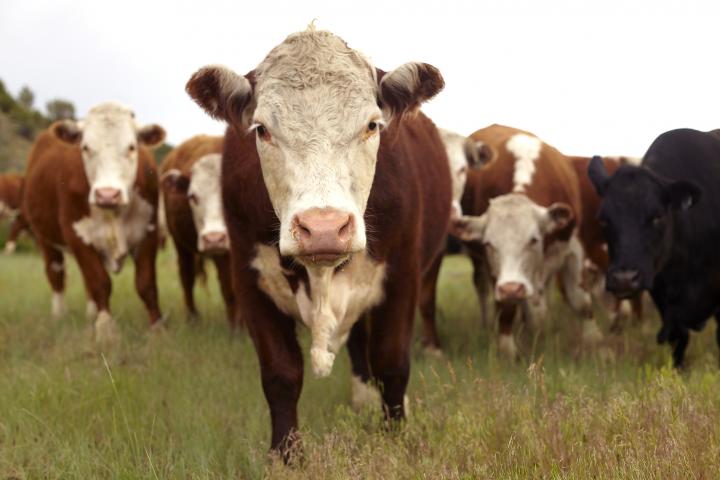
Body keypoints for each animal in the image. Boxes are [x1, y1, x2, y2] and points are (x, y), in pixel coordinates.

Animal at [23, 102, 165, 345]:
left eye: (131, 147)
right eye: (86, 148)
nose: (107, 194)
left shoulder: (148, 231)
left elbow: (146, 283)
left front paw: (156, 328)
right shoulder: (78, 236)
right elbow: (100, 282)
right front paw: (105, 330)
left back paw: (90, 314)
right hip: (45, 239)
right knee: (56, 273)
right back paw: (59, 314)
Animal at [160, 134, 239, 328]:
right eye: (192, 196)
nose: (214, 238)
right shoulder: (222, 254)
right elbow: (229, 289)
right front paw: (237, 328)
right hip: (181, 247)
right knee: (186, 278)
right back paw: (192, 318)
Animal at [185, 27, 450, 459]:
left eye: (372, 125)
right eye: (262, 129)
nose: (323, 227)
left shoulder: (403, 276)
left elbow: (392, 362)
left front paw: (395, 434)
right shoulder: (249, 280)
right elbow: (280, 373)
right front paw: (286, 457)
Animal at [451, 124, 603, 358]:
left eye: (534, 240)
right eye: (489, 244)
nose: (512, 288)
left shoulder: (573, 248)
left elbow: (581, 301)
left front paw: (594, 343)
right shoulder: (497, 272)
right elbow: (506, 308)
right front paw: (507, 350)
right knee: (483, 288)